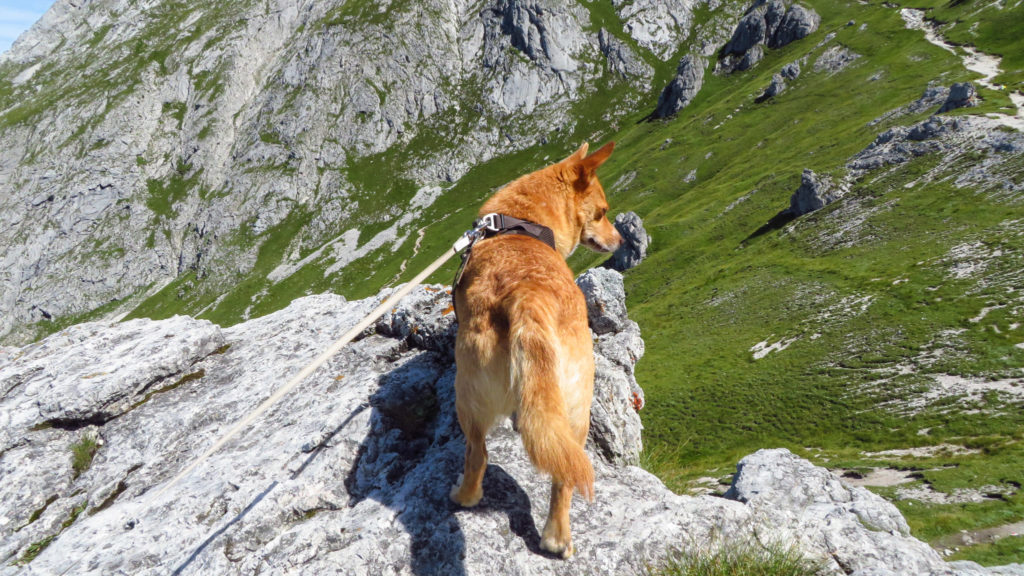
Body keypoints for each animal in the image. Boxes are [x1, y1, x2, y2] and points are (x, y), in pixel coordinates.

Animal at [450, 140, 622, 557]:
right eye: (603, 212)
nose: (622, 241)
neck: (524, 215)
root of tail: (527, 295)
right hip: (575, 408)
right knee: (564, 474)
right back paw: (557, 539)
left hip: (467, 395)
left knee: (477, 454)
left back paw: (463, 497)